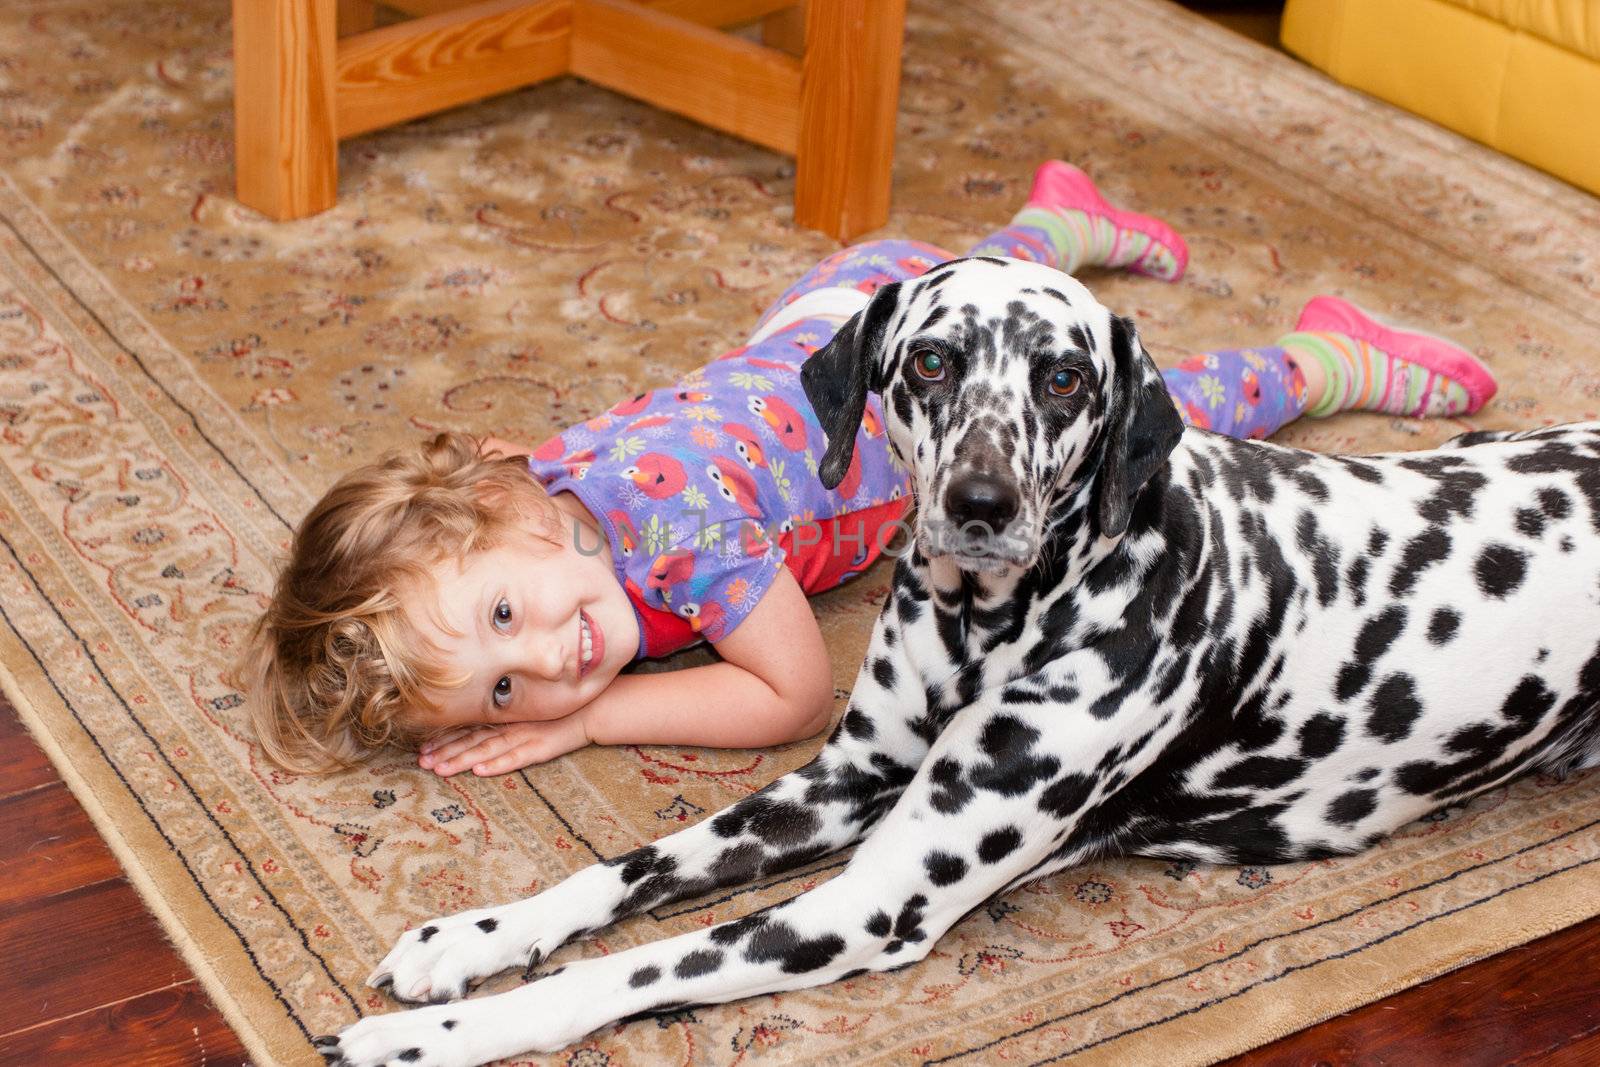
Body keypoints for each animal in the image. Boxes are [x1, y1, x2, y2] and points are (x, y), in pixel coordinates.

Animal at [321, 260, 1600, 1067]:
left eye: (1064, 377)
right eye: (931, 361)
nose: (980, 505)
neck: (990, 623)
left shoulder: (871, 900)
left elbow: (629, 967)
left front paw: (432, 1036)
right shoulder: (839, 780)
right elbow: (625, 870)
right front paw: (473, 935)